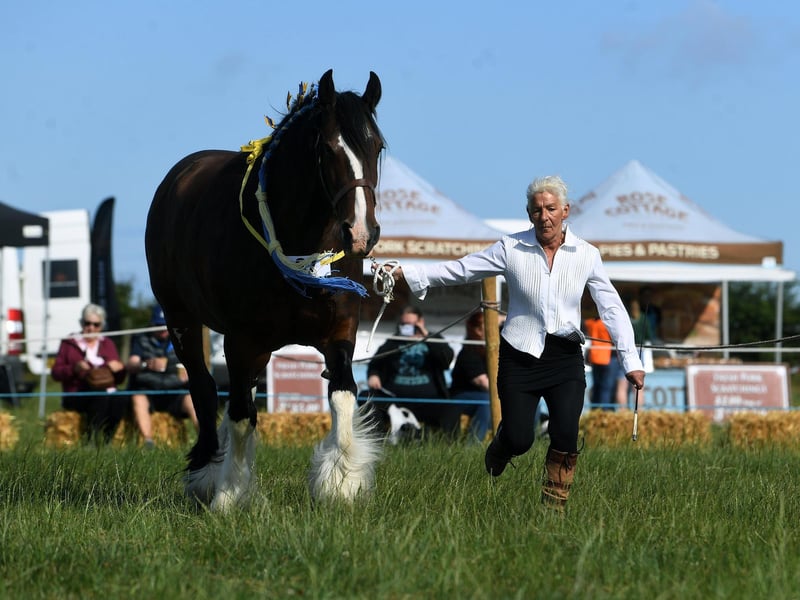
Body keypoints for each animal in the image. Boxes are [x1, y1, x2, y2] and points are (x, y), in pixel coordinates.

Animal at [145, 69, 385, 510]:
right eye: (328, 149)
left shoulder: (340, 333)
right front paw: (228, 493)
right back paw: (205, 475)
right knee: (204, 390)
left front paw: (341, 484)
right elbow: (240, 414)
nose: (361, 234)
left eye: (376, 146)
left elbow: (342, 394)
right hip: (180, 319)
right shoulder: (242, 341)